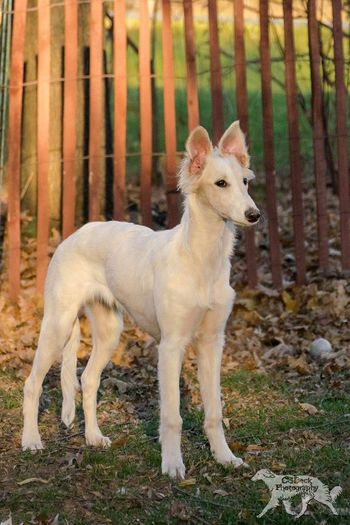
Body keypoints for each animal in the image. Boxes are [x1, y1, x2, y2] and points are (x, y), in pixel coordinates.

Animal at [21, 121, 260, 476]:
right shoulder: (171, 345)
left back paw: (93, 437)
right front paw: (173, 464)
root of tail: (74, 234)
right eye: (220, 183)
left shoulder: (212, 342)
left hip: (109, 331)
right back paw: (31, 440)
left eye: (244, 182)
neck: (200, 258)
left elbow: (214, 411)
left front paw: (224, 457)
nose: (254, 214)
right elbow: (172, 415)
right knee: (32, 383)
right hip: (58, 324)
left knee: (87, 379)